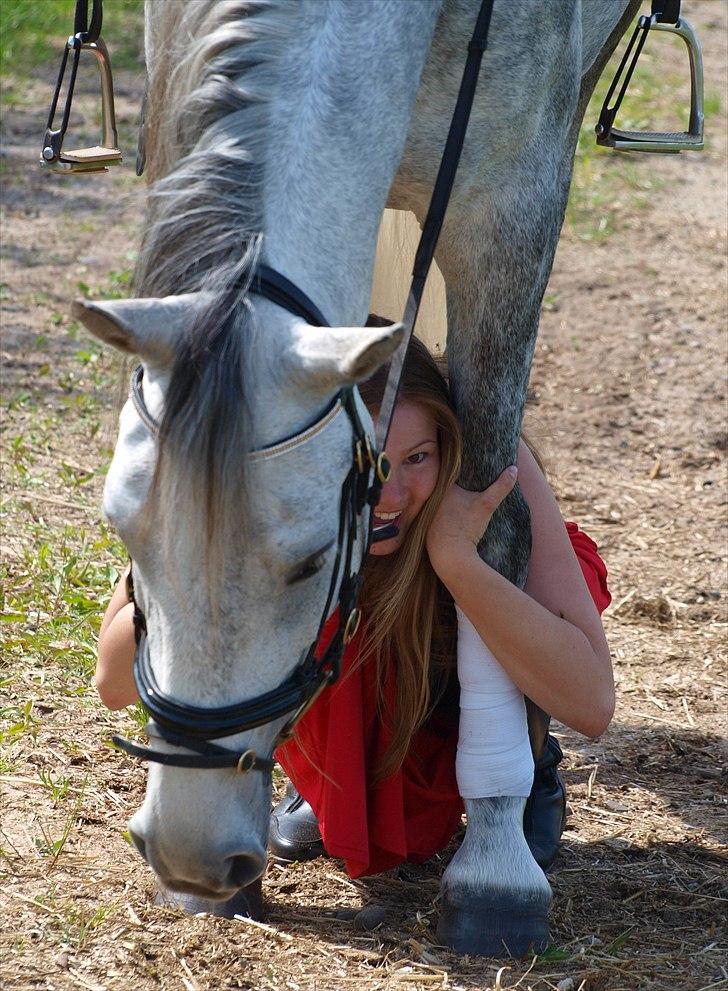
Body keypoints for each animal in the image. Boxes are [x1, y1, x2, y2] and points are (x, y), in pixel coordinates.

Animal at [74, 0, 644, 956]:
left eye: (310, 560)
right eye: (124, 535)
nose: (191, 852)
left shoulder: (514, 206)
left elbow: (493, 533)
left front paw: (495, 860)